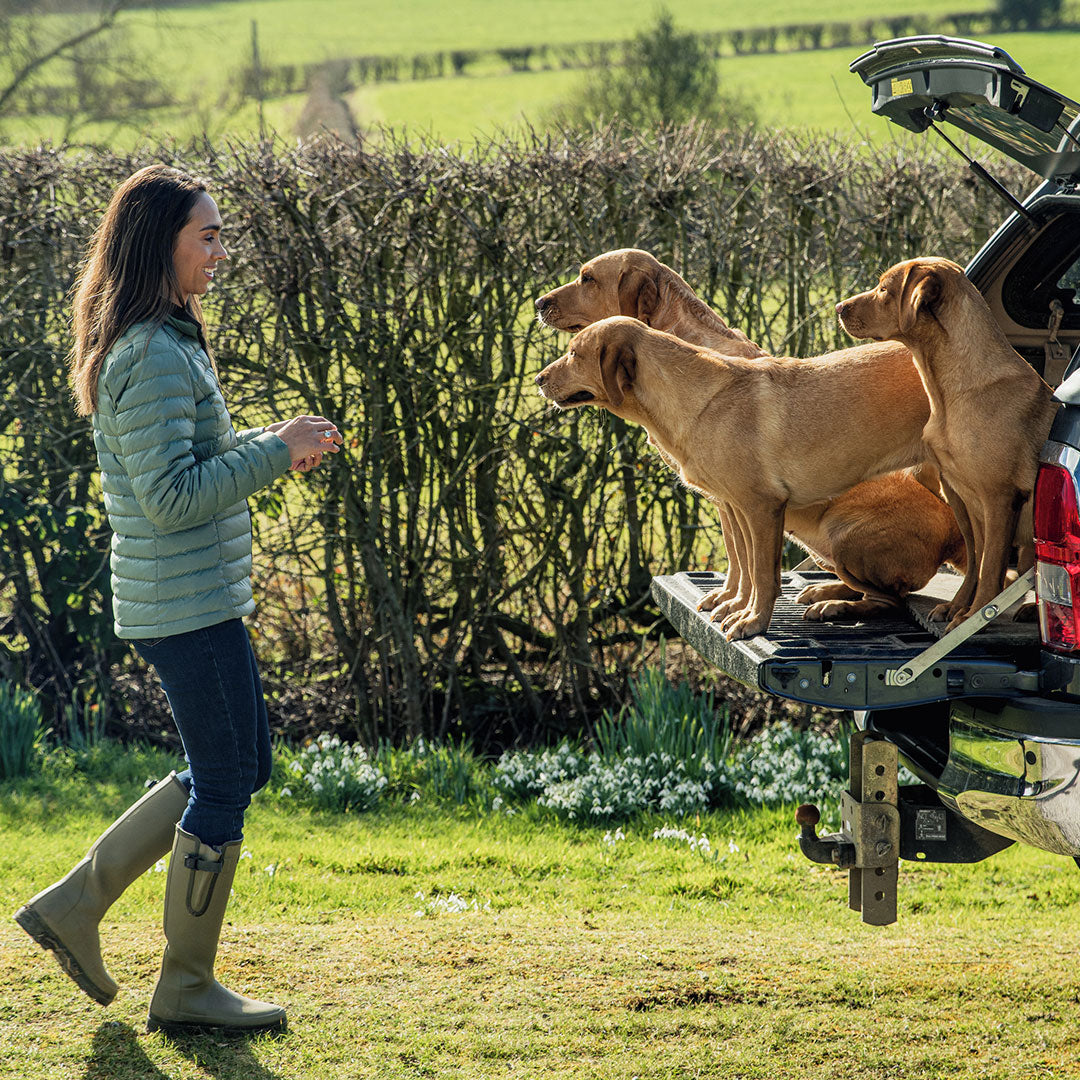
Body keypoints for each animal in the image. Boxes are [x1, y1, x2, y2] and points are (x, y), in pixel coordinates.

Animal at [533, 249, 963, 626]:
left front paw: (740, 610)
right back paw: (826, 593)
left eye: (587, 278)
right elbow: (741, 557)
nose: (538, 301)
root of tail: (950, 537)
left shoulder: (748, 502)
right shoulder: (732, 501)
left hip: (841, 534)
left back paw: (837, 605)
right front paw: (734, 603)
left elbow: (749, 563)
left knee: (893, 596)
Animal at [833, 259, 1054, 630]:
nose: (838, 308)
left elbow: (990, 567)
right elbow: (978, 562)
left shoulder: (998, 498)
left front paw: (974, 616)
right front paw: (960, 609)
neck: (949, 391)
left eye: (883, 289)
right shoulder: (965, 497)